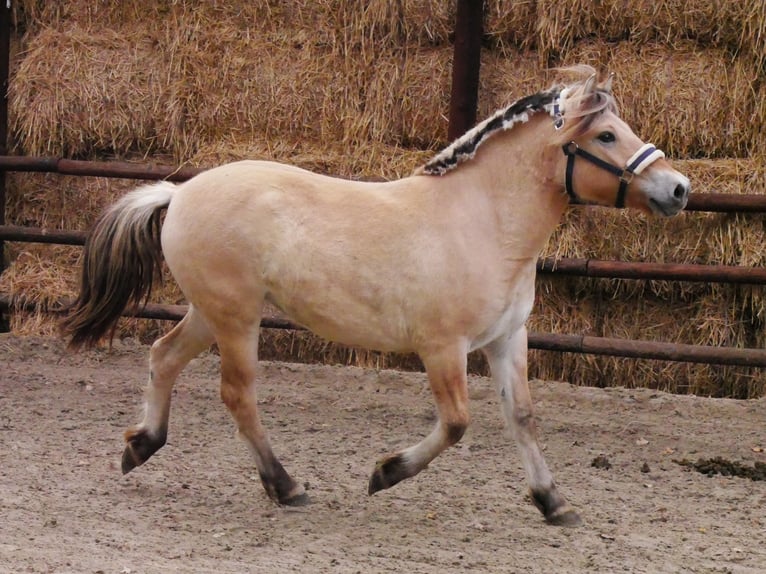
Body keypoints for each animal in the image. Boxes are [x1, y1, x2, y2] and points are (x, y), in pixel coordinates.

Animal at [60, 67, 690, 526]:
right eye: (605, 135)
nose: (679, 188)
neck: (484, 221)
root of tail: (180, 192)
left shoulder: (506, 338)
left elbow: (523, 416)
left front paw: (554, 503)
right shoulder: (443, 347)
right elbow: (457, 423)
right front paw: (384, 473)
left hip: (209, 312)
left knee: (162, 357)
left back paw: (140, 447)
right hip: (236, 318)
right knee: (237, 394)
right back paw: (286, 487)